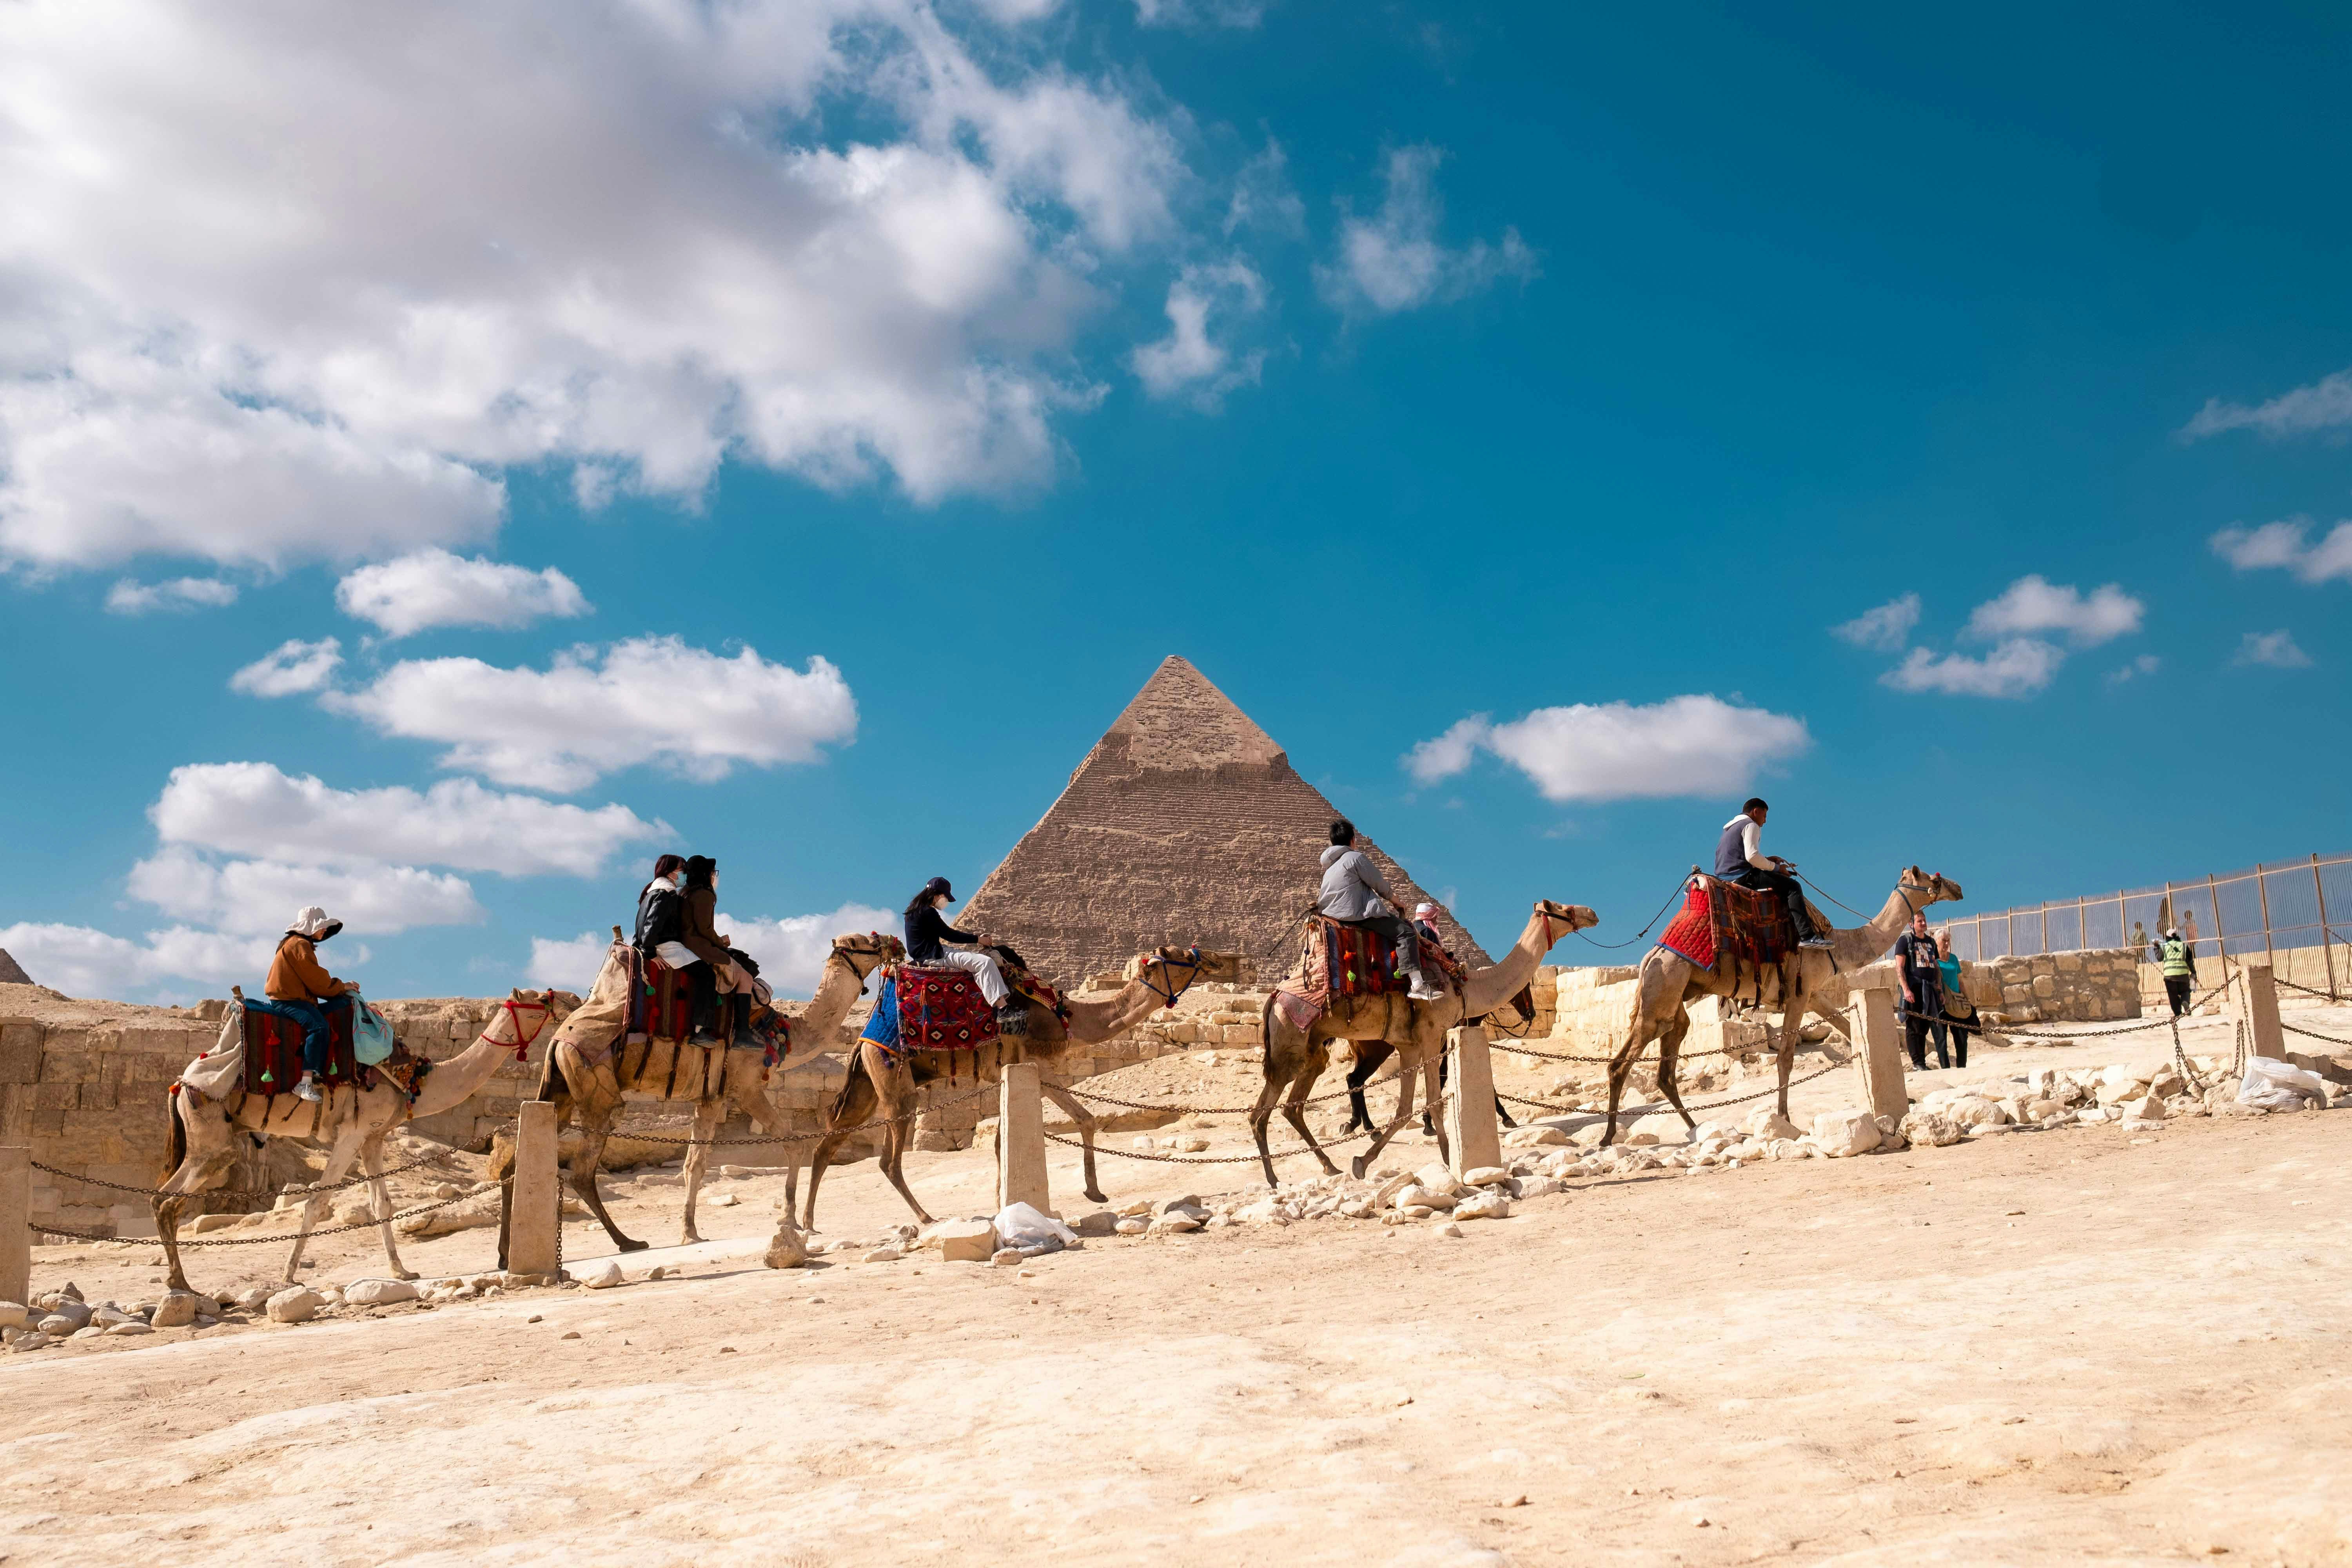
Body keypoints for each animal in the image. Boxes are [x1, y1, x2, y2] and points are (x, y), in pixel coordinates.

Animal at [154, 988, 556, 1295]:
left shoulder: (373, 1136)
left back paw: (179, 1283)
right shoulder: (352, 1133)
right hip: (210, 1135)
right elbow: (317, 1201)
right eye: (538, 1001)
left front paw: (402, 1272)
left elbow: (382, 1204)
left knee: (165, 1199)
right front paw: (288, 1276)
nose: (561, 1001)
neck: (413, 1080)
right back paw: (180, 1284)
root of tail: (179, 1085)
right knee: (169, 1198)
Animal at [491, 929, 904, 1264]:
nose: (894, 943)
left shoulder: (712, 1097)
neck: (782, 1032)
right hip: (596, 1087)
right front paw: (788, 1218)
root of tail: (560, 1037)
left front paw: (690, 1232)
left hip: (559, 1088)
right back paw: (627, 1242)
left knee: (517, 1161)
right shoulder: (746, 1085)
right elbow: (792, 1142)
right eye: (863, 942)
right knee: (582, 1170)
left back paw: (506, 1254)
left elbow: (695, 1164)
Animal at [800, 946, 1215, 1230]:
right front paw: (1092, 1193)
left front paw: (1010, 1203)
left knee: (825, 1148)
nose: (1209, 957)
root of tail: (864, 1039)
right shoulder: (1038, 1066)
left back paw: (804, 1223)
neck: (1070, 1017)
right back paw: (926, 1217)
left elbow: (1009, 1139)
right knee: (887, 1159)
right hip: (895, 1082)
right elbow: (1086, 1118)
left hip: (866, 1087)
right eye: (1179, 956)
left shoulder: (1011, 1071)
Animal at [1248, 900, 1598, 1187]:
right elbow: (1435, 1100)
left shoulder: (1410, 1045)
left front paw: (1363, 1162)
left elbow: (1406, 1109)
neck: (1465, 988)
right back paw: (1276, 1176)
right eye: (1564, 908)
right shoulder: (1431, 1036)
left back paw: (1327, 1165)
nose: (1592, 913)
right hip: (1290, 1043)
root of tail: (1273, 999)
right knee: (1266, 1110)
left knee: (1290, 1107)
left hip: (1313, 1051)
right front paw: (1447, 1158)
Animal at [1598, 865, 1964, 1145]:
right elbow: (1786, 1057)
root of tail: (1649, 958)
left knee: (1666, 1067)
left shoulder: (1813, 994)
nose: (1958, 887)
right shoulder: (1799, 994)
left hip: (1673, 998)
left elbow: (1848, 1030)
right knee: (1622, 1063)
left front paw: (1907, 1097)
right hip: (1663, 990)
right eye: (1932, 877)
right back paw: (1609, 1136)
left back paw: (1695, 1128)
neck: (1838, 945)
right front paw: (1785, 1118)